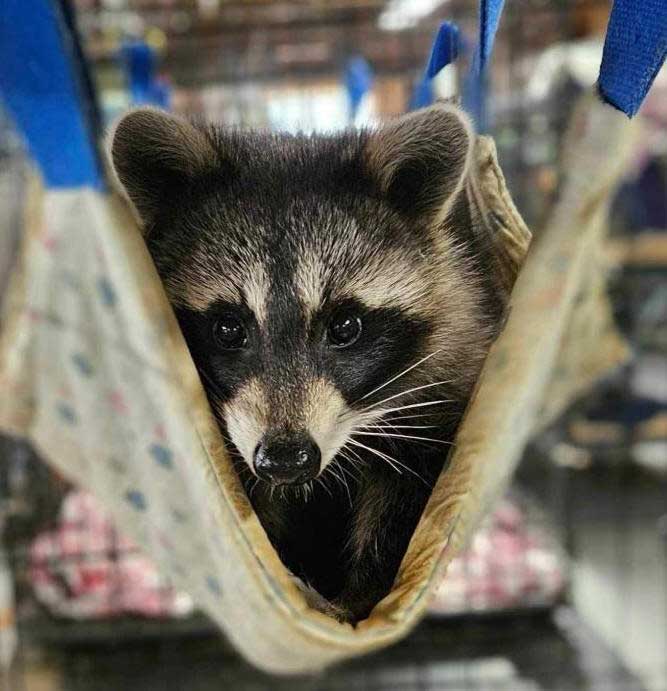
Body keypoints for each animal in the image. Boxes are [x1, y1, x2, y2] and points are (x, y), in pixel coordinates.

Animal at [109, 104, 516, 628]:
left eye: (345, 326)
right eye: (227, 328)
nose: (285, 460)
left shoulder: (446, 373)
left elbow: (405, 493)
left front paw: (360, 595)